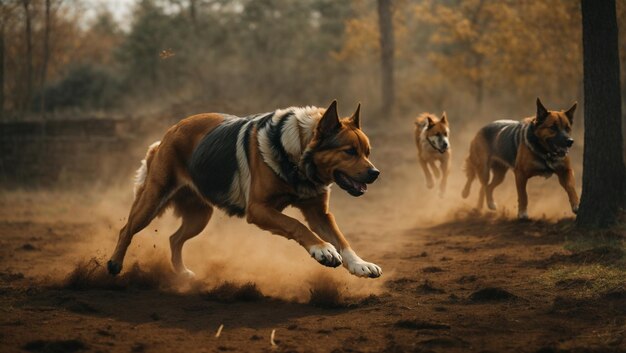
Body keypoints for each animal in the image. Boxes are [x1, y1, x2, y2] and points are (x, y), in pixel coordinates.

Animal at [106, 101, 380, 278]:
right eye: (349, 152)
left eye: (367, 152)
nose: (375, 173)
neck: (297, 156)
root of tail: (167, 135)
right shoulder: (259, 210)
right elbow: (296, 225)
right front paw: (322, 249)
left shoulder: (319, 214)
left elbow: (342, 239)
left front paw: (360, 265)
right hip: (153, 200)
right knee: (126, 230)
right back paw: (114, 264)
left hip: (199, 216)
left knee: (174, 239)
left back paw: (182, 273)